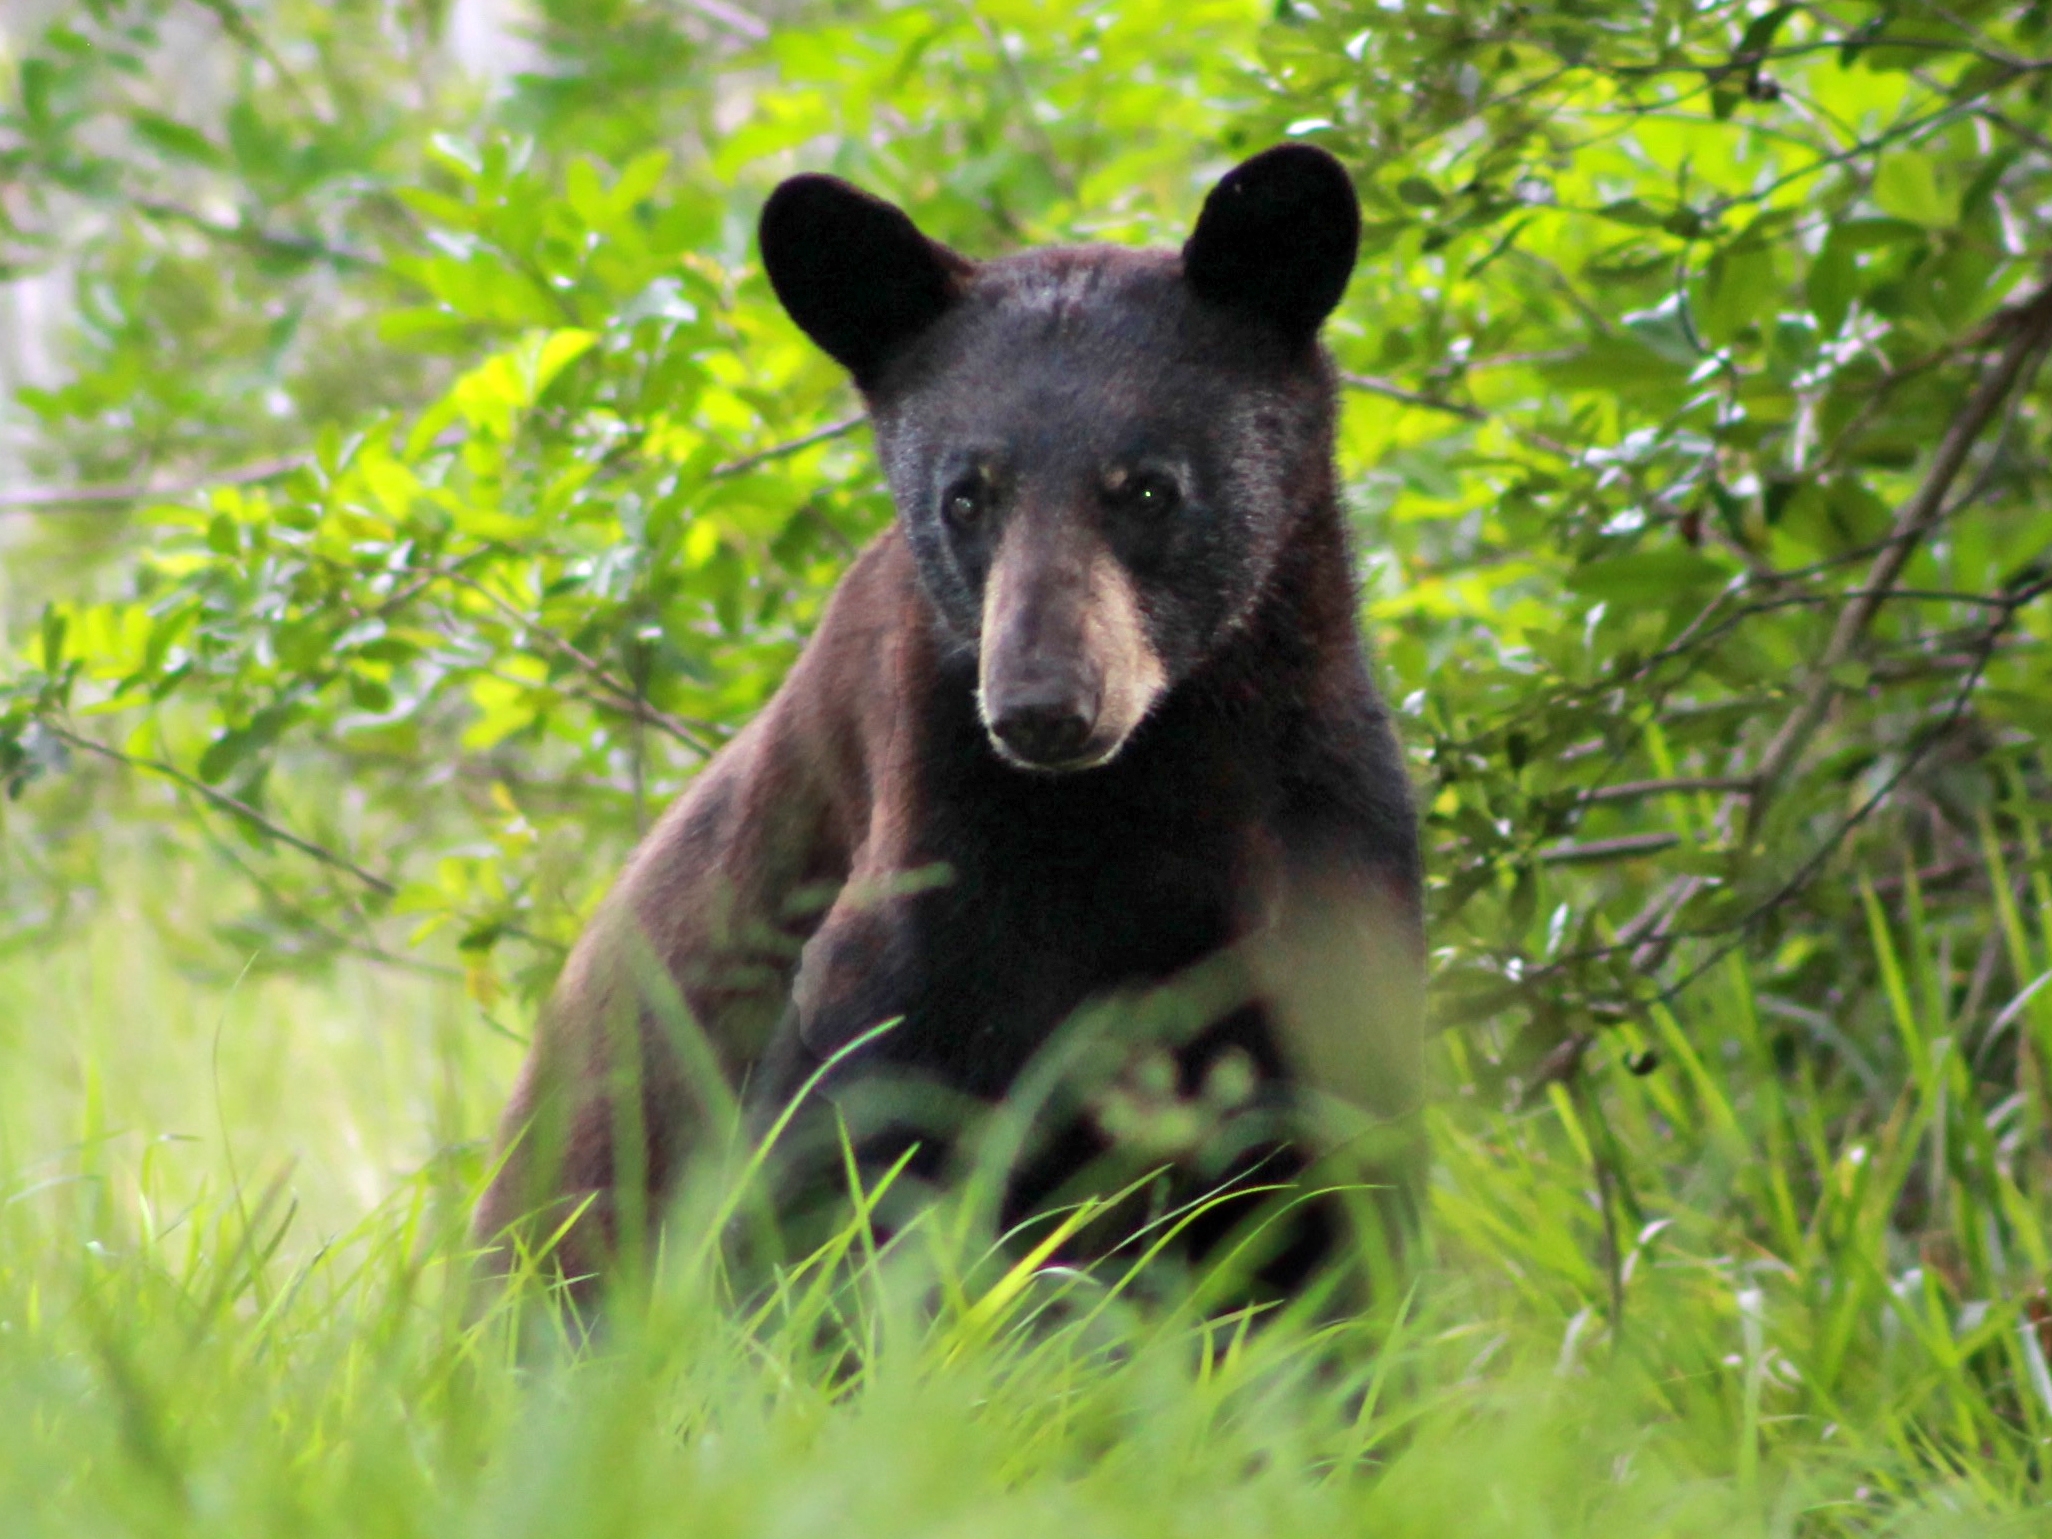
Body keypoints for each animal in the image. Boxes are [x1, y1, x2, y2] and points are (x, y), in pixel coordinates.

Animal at [473, 143, 1425, 1306]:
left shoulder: (1332, 860)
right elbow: (842, 1185)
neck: (1158, 788)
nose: (1042, 708)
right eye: (966, 496)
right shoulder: (924, 867)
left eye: (1148, 488)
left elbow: (1333, 1204)